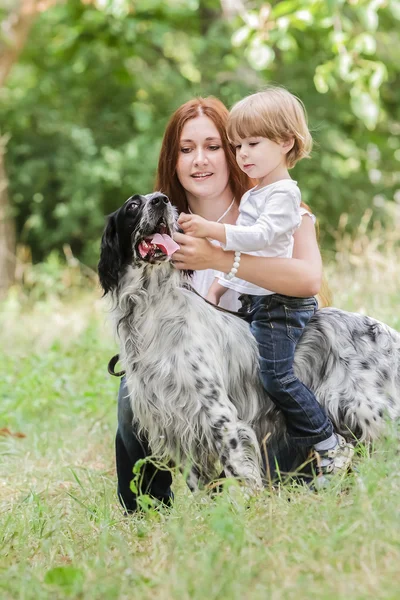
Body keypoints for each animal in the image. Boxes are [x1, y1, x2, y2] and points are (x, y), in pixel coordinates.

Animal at [97, 192, 400, 492]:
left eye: (166, 201)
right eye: (133, 205)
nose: (160, 200)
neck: (151, 305)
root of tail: (387, 332)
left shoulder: (220, 417)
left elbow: (240, 475)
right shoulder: (177, 422)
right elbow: (199, 487)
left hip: (373, 413)